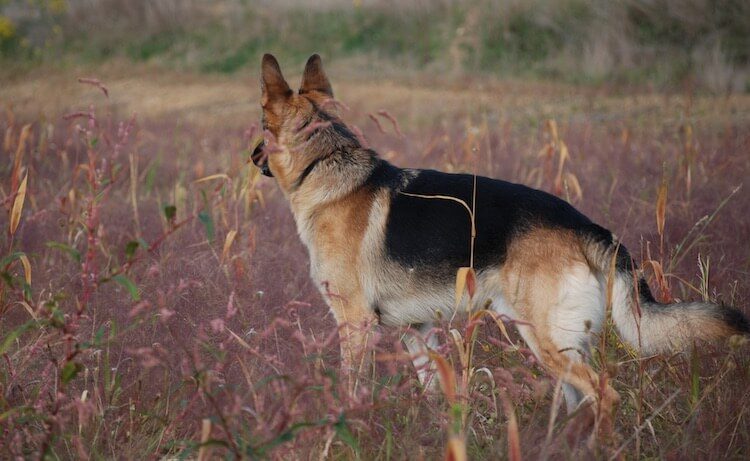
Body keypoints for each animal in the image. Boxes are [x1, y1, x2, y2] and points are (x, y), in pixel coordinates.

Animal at [254, 53, 750, 414]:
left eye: (260, 125)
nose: (252, 155)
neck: (326, 164)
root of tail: (587, 226)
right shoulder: (419, 331)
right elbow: (437, 394)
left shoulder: (355, 325)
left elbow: (351, 391)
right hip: (559, 347)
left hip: (549, 342)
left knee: (605, 395)